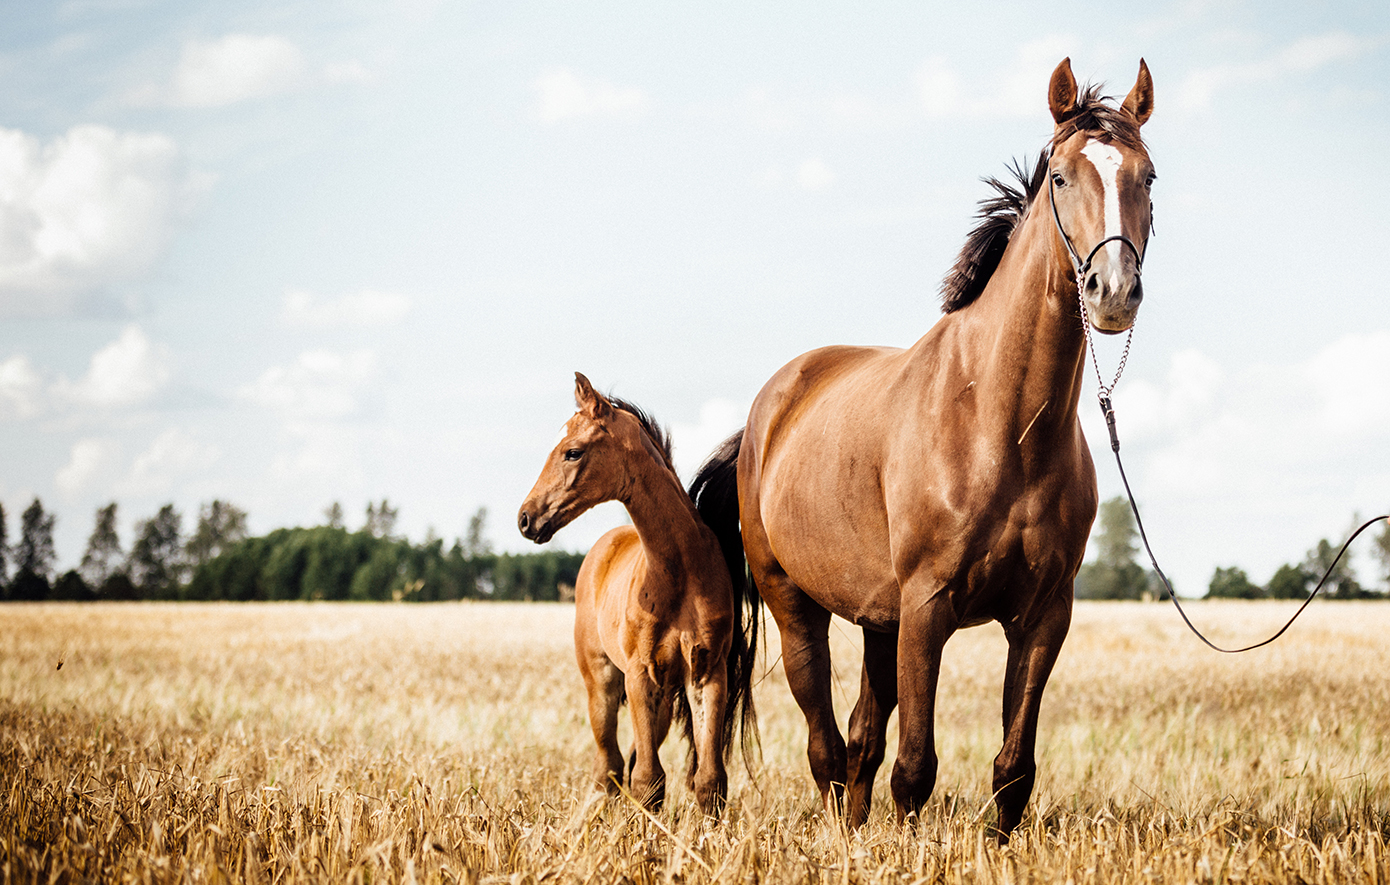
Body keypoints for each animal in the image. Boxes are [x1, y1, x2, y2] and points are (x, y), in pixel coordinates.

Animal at [522, 372, 761, 816]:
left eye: (572, 452)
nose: (526, 518)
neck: (678, 573)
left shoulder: (706, 673)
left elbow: (708, 780)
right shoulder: (639, 675)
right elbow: (648, 780)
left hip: (663, 701)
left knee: (625, 761)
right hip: (601, 682)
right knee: (609, 766)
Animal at [695, 58, 1162, 839]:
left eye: (1148, 176)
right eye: (1061, 175)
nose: (1113, 290)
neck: (1001, 426)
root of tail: (768, 410)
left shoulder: (1043, 616)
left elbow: (1012, 769)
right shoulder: (927, 607)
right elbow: (915, 767)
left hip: (877, 619)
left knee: (859, 736)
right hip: (797, 604)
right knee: (826, 743)